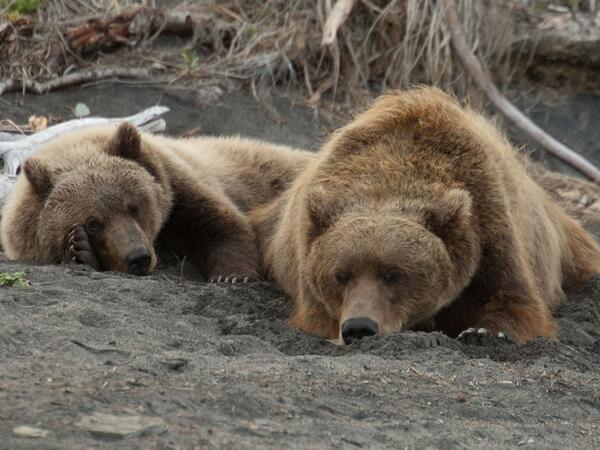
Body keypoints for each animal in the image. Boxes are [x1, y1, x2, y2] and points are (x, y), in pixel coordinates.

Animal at [1, 121, 314, 280]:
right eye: (93, 222)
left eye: (135, 206)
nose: (138, 256)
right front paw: (80, 248)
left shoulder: (180, 187)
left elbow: (223, 226)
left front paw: (232, 275)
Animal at [251, 86, 600, 342]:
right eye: (341, 274)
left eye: (393, 274)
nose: (360, 327)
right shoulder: (306, 254)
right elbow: (316, 314)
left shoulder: (491, 227)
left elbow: (515, 300)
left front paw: (484, 331)